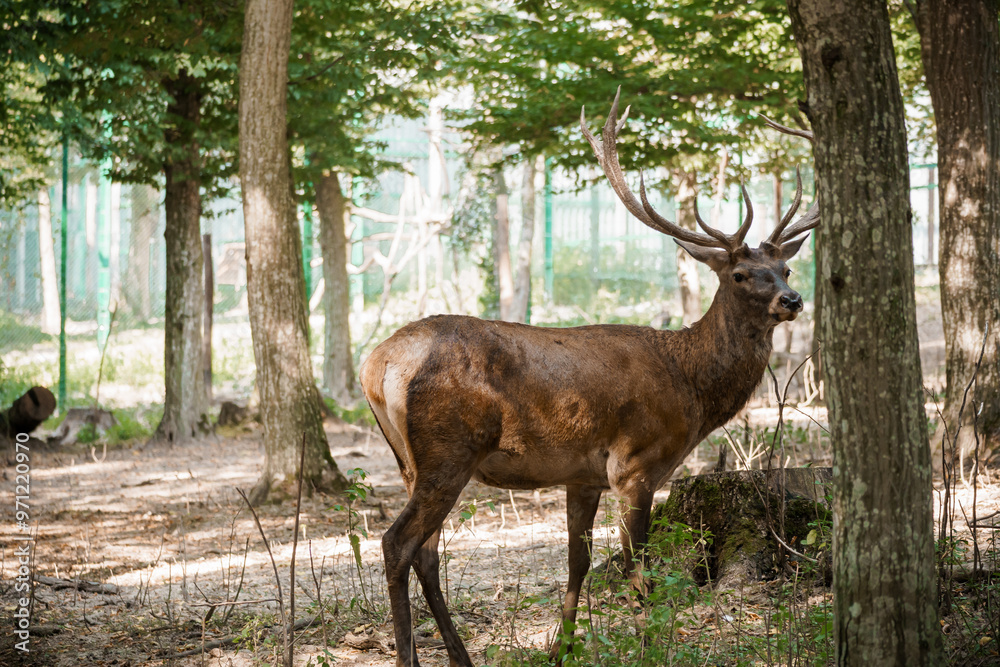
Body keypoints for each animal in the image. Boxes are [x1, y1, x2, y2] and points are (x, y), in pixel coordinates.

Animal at [359, 90, 818, 667]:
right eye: (740, 274)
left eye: (786, 270)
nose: (792, 300)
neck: (691, 388)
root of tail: (375, 365)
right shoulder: (635, 463)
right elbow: (638, 569)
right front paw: (651, 647)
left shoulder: (582, 475)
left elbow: (577, 561)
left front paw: (564, 648)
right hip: (448, 448)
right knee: (397, 544)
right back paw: (410, 655)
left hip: (409, 461)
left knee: (426, 553)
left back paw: (461, 656)